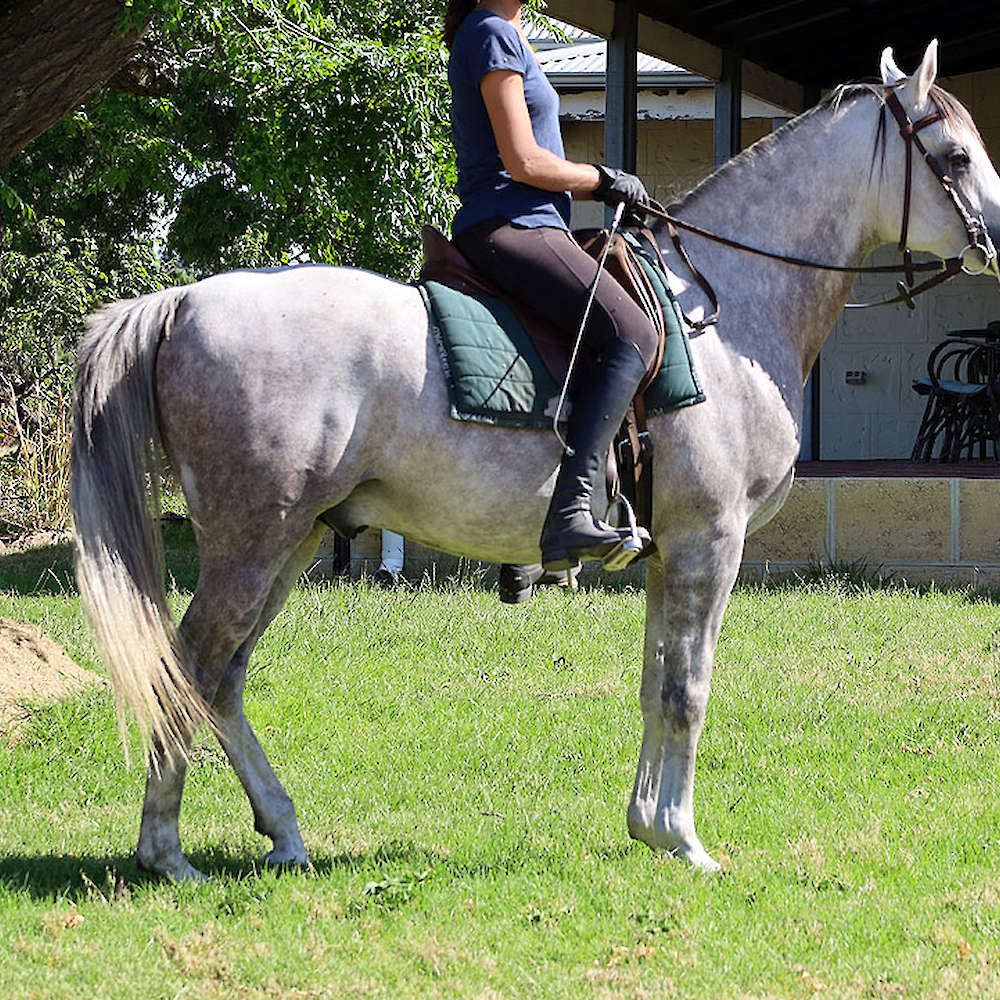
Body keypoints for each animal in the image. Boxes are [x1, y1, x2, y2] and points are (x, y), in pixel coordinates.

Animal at [72, 41, 1000, 880]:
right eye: (955, 155)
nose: (997, 245)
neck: (724, 313)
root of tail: (182, 301)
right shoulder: (710, 543)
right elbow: (688, 689)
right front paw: (687, 843)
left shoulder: (670, 553)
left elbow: (654, 684)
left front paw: (650, 829)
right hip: (252, 543)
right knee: (187, 669)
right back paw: (166, 853)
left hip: (292, 541)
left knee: (221, 680)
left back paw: (283, 834)